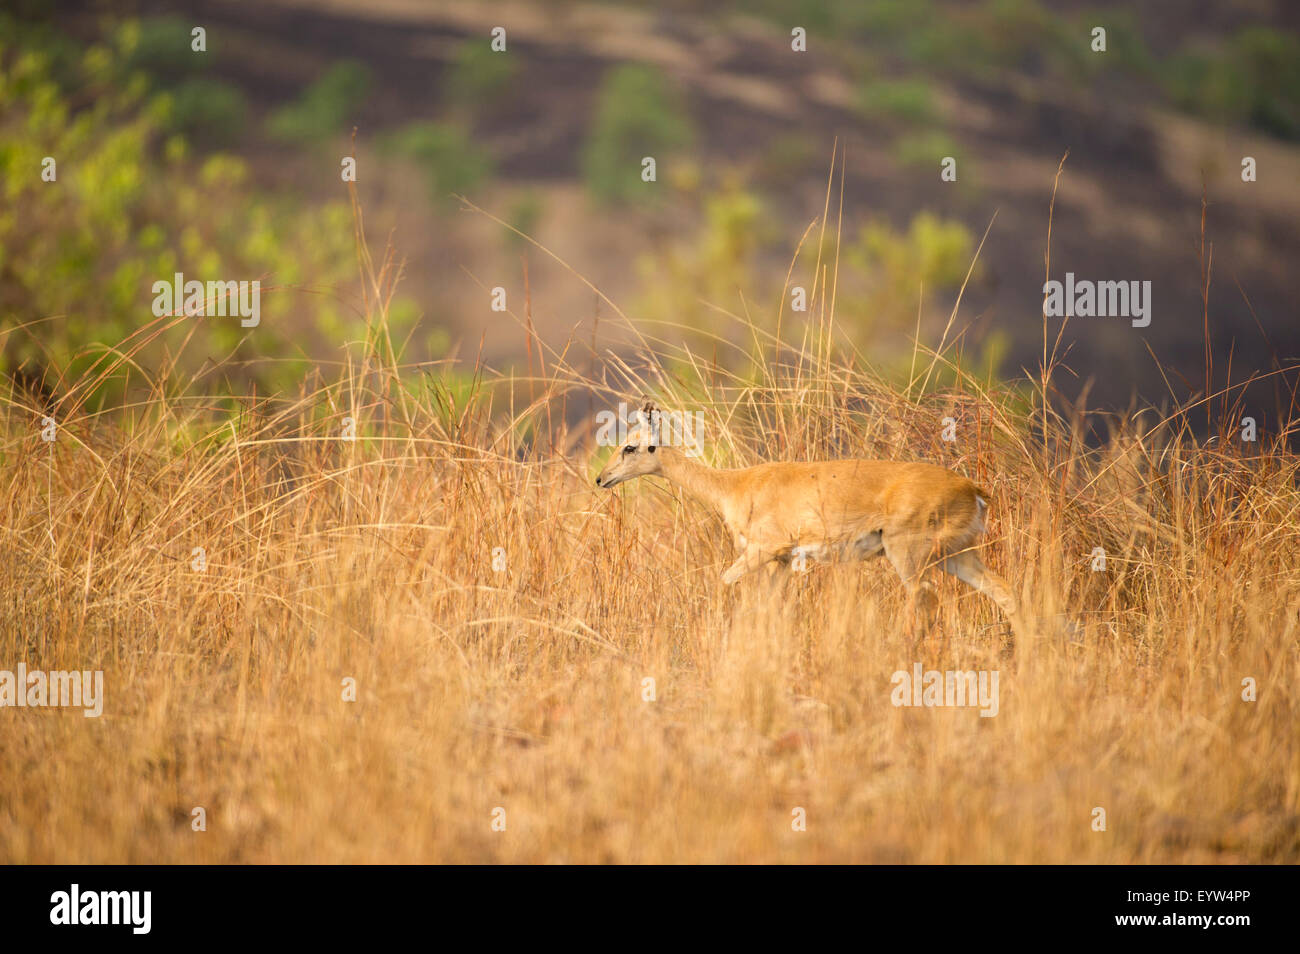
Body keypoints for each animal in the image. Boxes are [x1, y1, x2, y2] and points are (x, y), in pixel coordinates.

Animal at [595, 405, 1024, 642]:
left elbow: (723, 584)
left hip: (910, 556)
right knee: (1005, 594)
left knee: (925, 598)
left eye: (630, 446)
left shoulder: (763, 551)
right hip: (958, 556)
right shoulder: (784, 561)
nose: (601, 478)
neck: (735, 485)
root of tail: (973, 488)